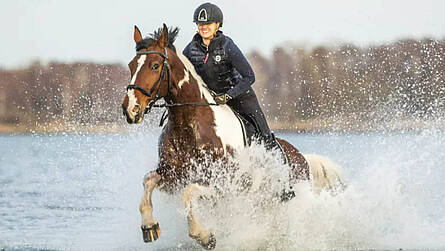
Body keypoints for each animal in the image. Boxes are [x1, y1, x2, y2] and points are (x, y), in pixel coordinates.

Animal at [121, 23, 344, 249]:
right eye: (131, 66)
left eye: (155, 65)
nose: (130, 109)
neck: (189, 126)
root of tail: (302, 158)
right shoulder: (172, 176)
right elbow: (148, 181)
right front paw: (149, 227)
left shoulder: (223, 185)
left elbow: (189, 194)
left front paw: (205, 236)